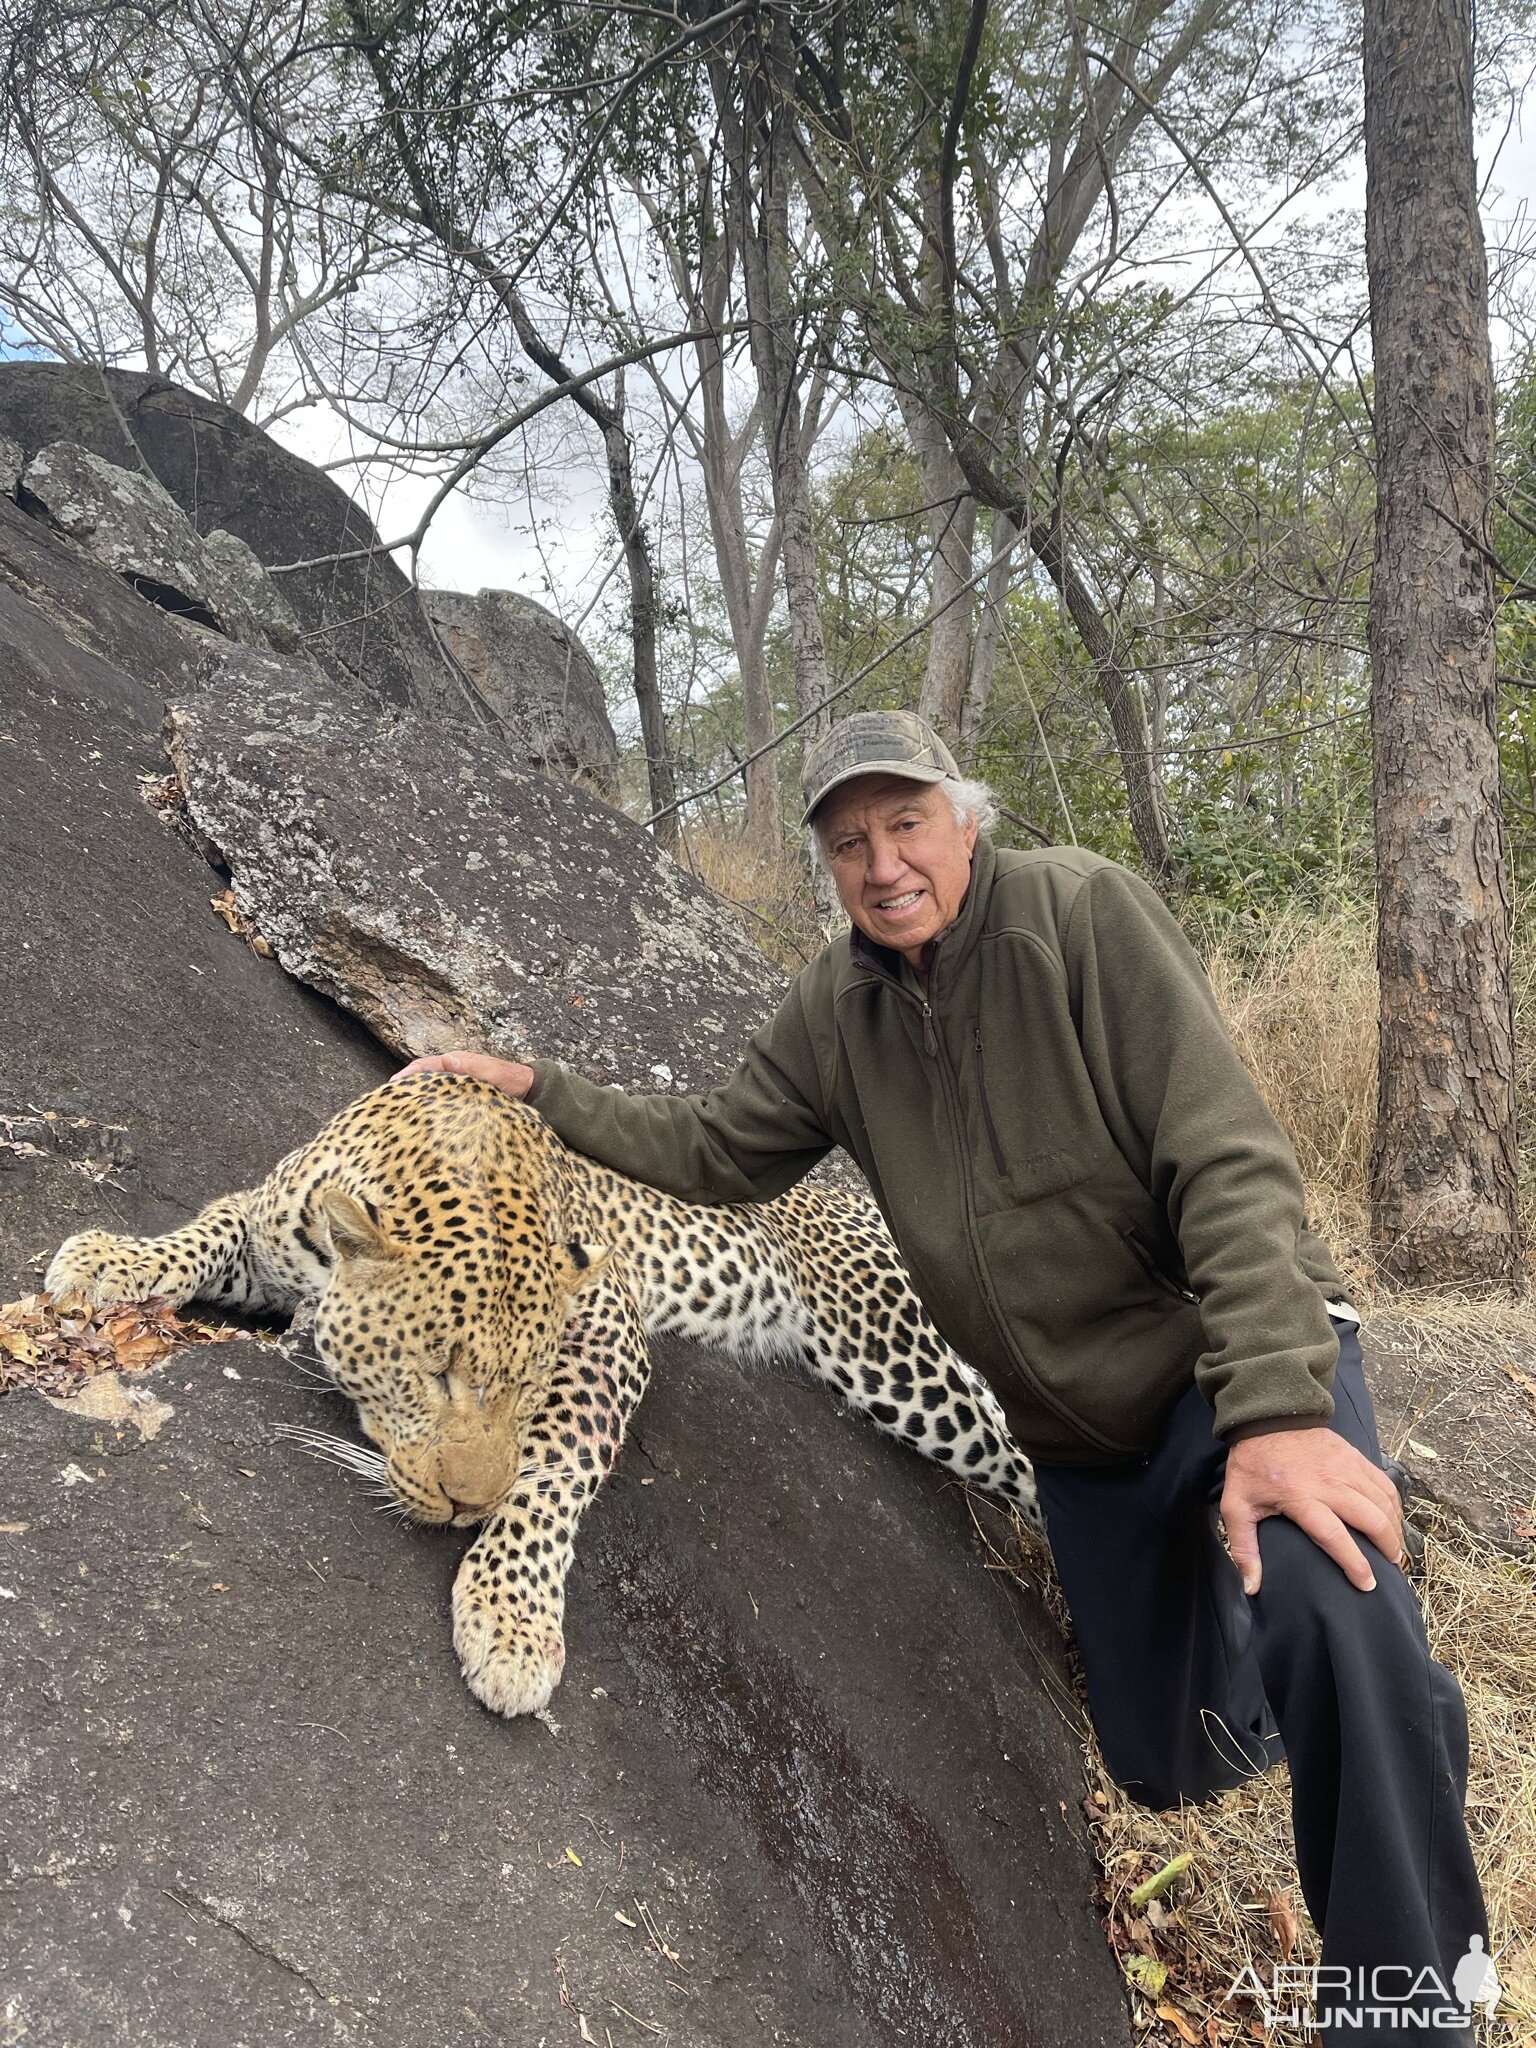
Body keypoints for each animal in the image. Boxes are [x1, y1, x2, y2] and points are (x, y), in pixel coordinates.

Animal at [41, 1073, 1040, 1712]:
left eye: (527, 1388)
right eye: (435, 1371)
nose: (462, 1508)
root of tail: (860, 1203)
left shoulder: (610, 1322)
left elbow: (556, 1464)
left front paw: (513, 1618)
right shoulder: (268, 1224)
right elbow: (206, 1231)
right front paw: (109, 1260)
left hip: (902, 1358)